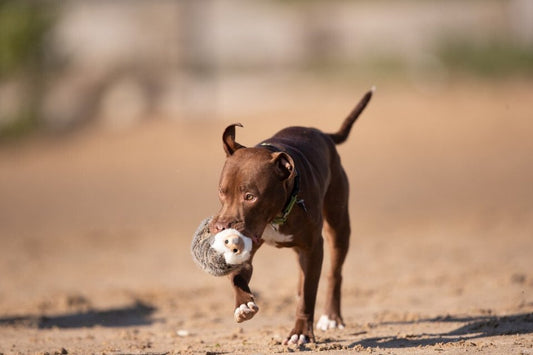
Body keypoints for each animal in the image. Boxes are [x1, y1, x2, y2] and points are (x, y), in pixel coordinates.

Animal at [207, 88, 370, 344]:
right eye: (222, 192)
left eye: (250, 196)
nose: (221, 227)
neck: (275, 216)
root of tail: (324, 135)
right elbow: (237, 276)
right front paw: (243, 305)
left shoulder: (314, 247)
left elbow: (309, 294)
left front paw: (301, 333)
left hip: (338, 226)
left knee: (334, 273)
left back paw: (332, 317)